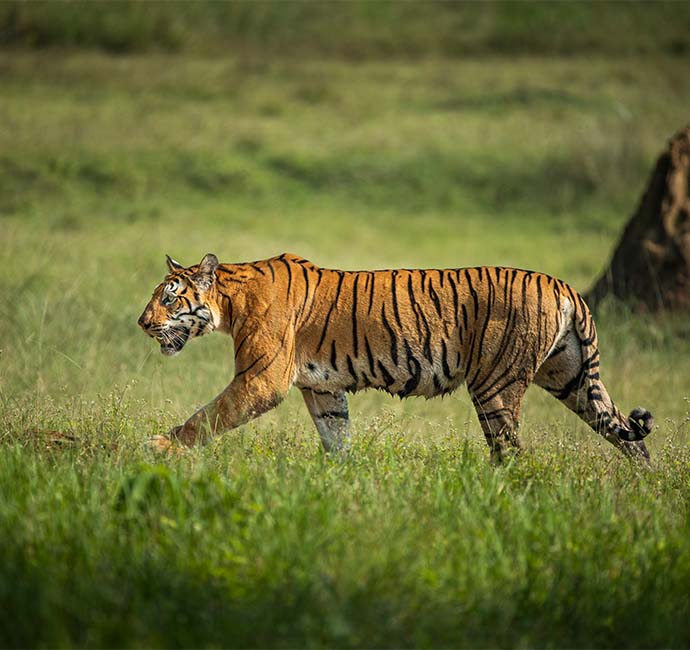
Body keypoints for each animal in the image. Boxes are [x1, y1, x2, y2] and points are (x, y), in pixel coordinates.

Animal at [138, 249, 652, 460]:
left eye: (169, 297)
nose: (142, 323)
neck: (229, 300)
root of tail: (565, 285)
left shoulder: (260, 379)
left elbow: (206, 416)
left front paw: (160, 447)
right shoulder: (322, 388)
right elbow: (336, 436)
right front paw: (341, 479)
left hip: (496, 385)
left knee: (510, 450)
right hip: (572, 378)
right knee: (631, 438)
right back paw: (647, 493)